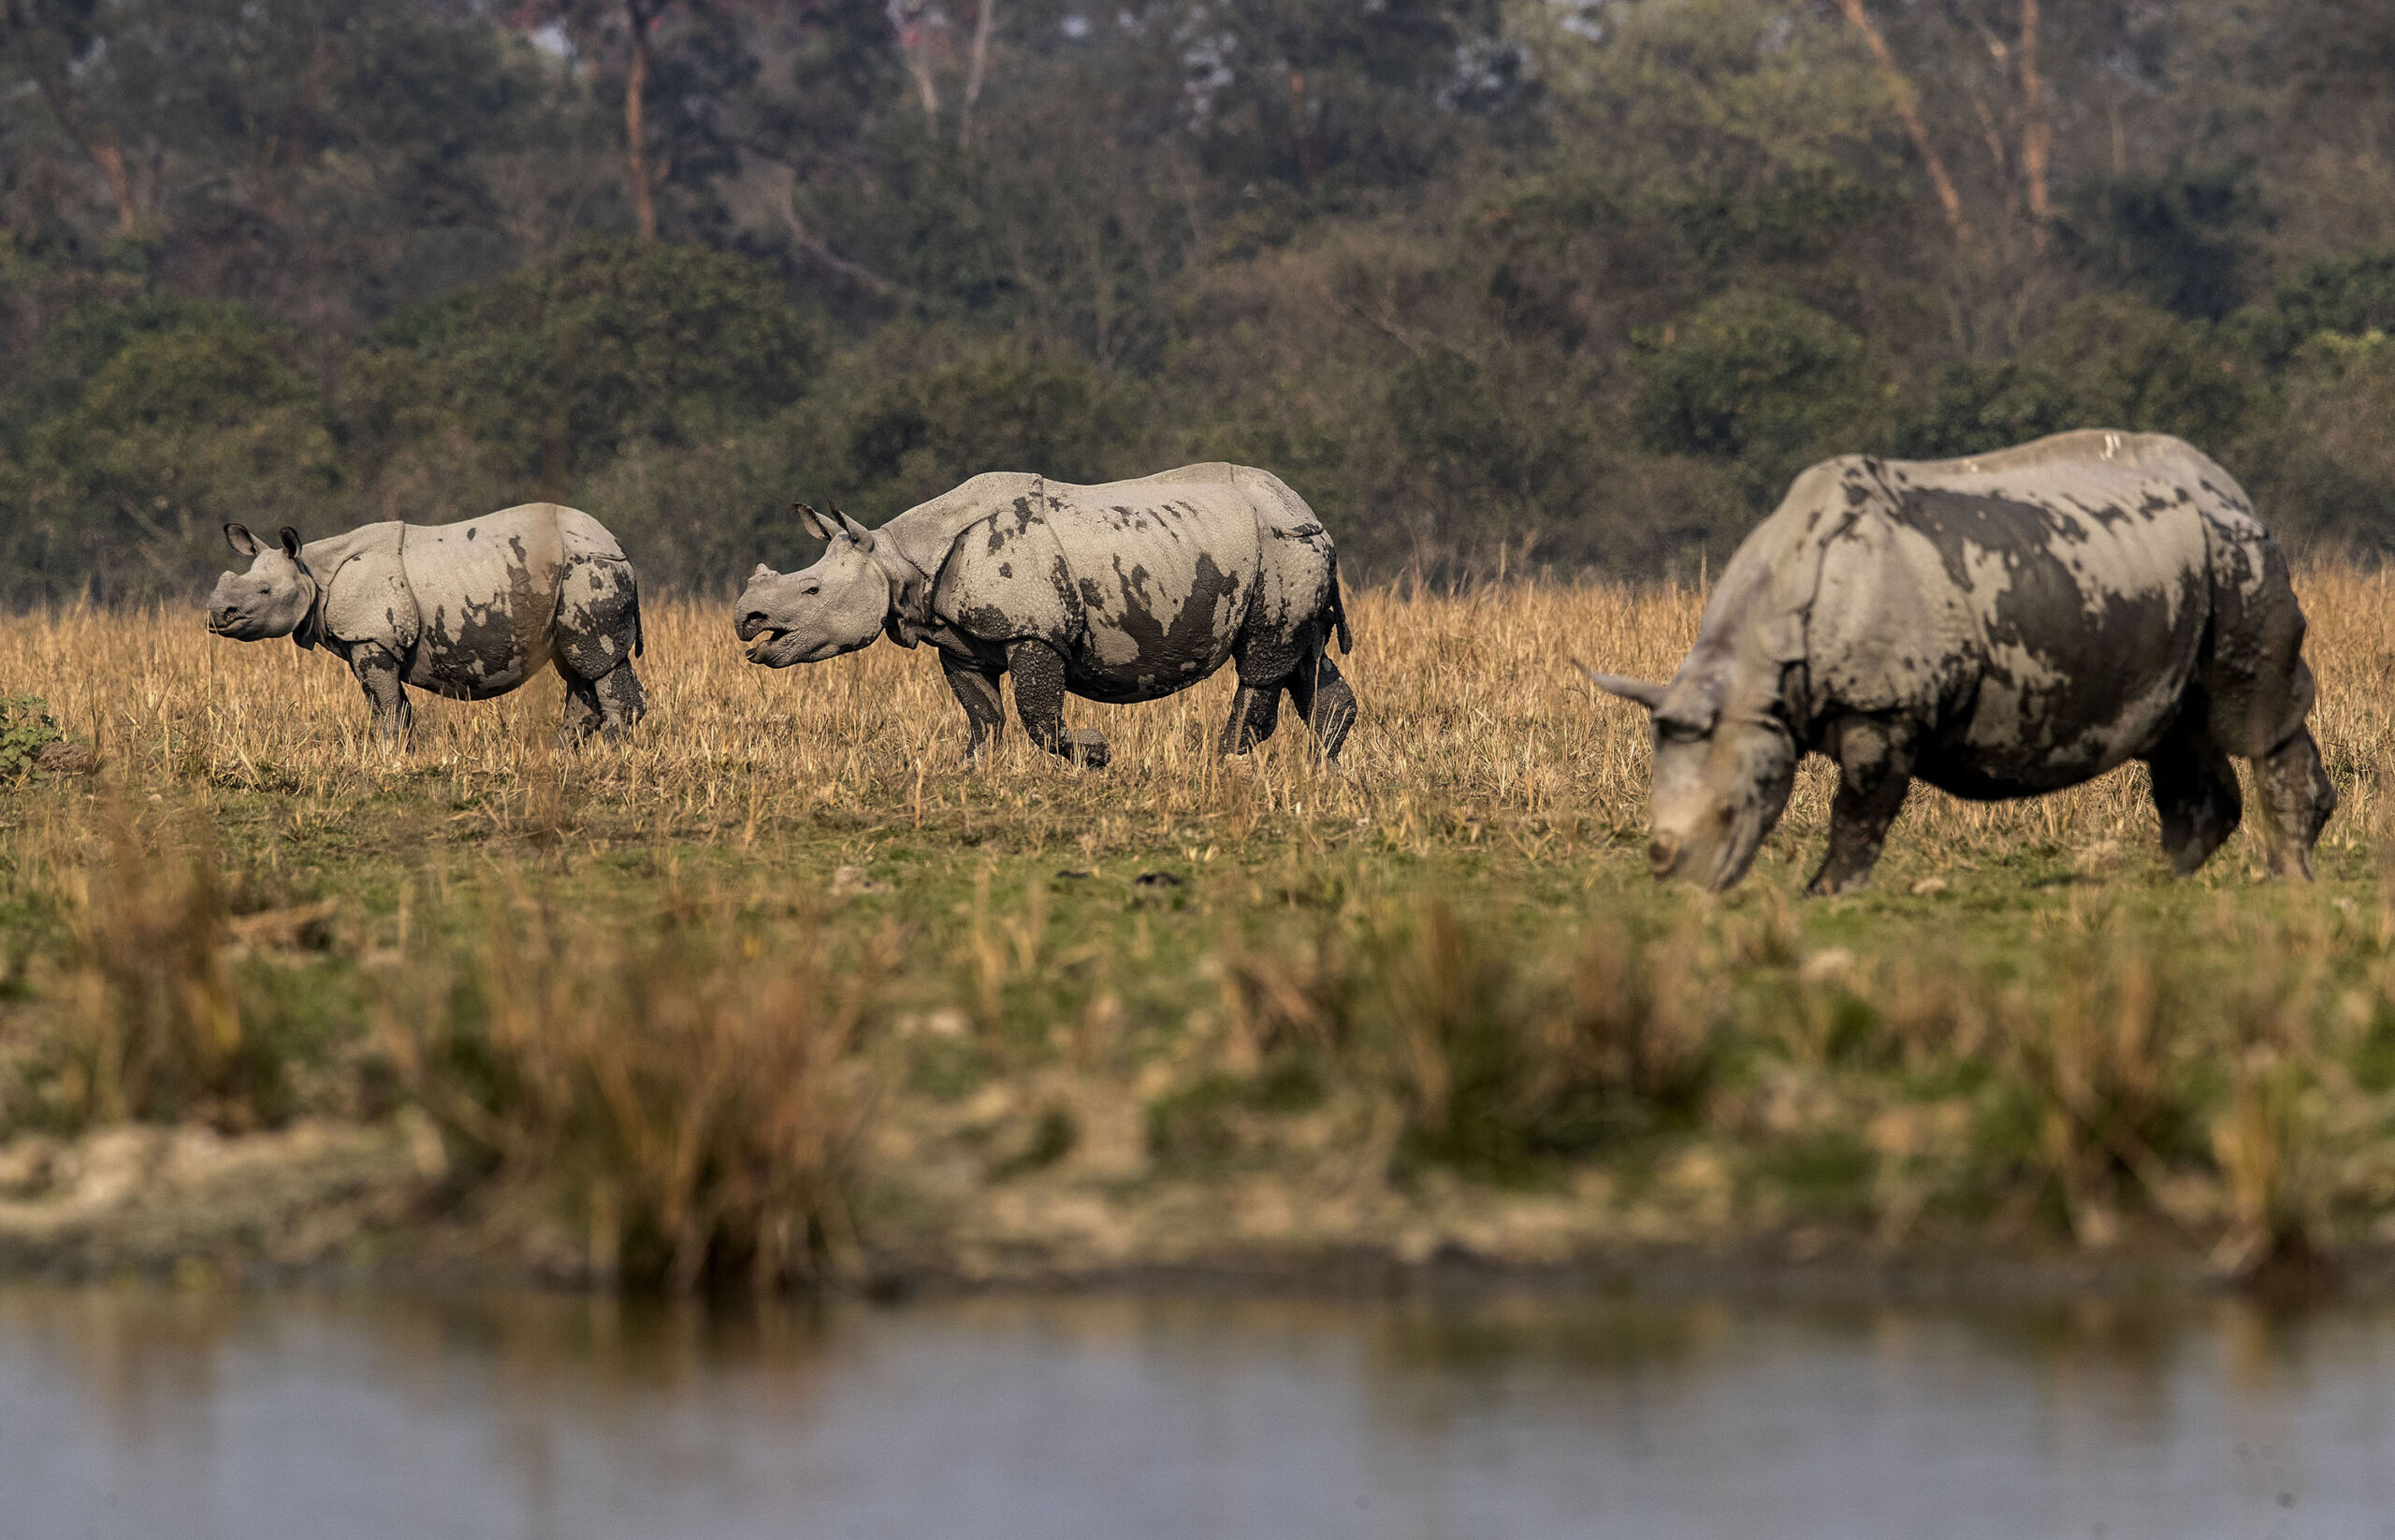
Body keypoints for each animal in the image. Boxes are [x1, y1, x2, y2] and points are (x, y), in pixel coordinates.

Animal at [206, 505, 646, 747]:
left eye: (264, 592)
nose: (216, 614)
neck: (312, 572)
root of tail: (618, 544)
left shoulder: (372, 637)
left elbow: (386, 705)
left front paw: (386, 757)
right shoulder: (365, 641)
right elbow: (388, 706)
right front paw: (395, 753)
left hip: (589, 569)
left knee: (596, 660)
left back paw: (605, 754)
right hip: (570, 575)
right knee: (578, 667)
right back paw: (561, 755)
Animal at [737, 459, 1360, 766]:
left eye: (811, 590)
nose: (746, 620)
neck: (896, 558)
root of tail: (1305, 508)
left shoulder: (1034, 629)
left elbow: (1037, 716)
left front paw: (1097, 754)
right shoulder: (960, 638)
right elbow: (983, 714)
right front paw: (967, 770)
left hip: (1282, 546)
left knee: (1263, 656)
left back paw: (1225, 763)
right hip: (1286, 548)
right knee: (1303, 656)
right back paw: (1320, 770)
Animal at [1580, 430, 2328, 891]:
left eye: (1733, 810)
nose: (1675, 879)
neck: (1760, 675)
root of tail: (2227, 483)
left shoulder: (1885, 707)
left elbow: (1860, 811)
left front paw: (1826, 894)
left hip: (2237, 551)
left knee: (2246, 713)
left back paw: (2286, 880)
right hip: (2172, 564)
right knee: (2178, 728)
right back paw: (2157, 884)